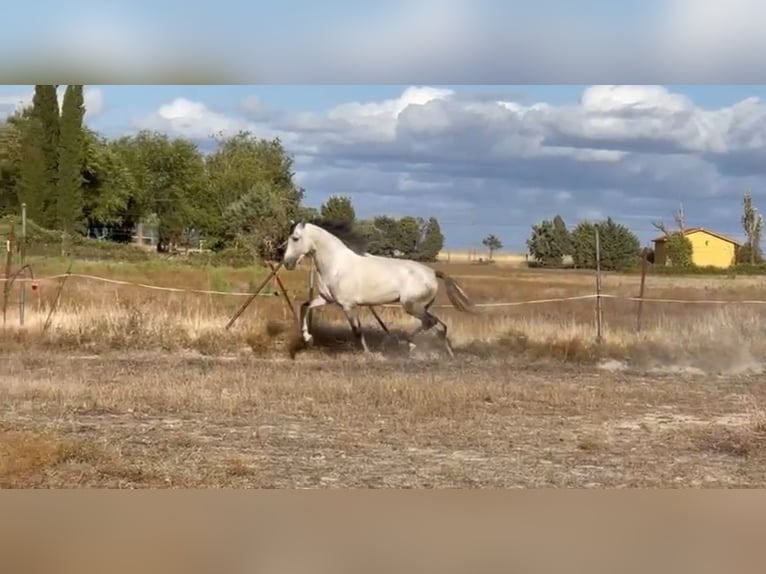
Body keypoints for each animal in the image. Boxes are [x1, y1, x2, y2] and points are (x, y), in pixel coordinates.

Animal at [280, 219, 476, 358]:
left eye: (295, 238)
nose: (287, 263)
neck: (337, 264)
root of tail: (432, 272)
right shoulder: (326, 299)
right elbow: (304, 307)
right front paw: (308, 339)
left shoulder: (347, 305)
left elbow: (357, 331)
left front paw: (369, 354)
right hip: (421, 307)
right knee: (439, 326)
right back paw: (440, 353)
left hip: (412, 306)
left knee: (432, 323)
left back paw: (409, 344)